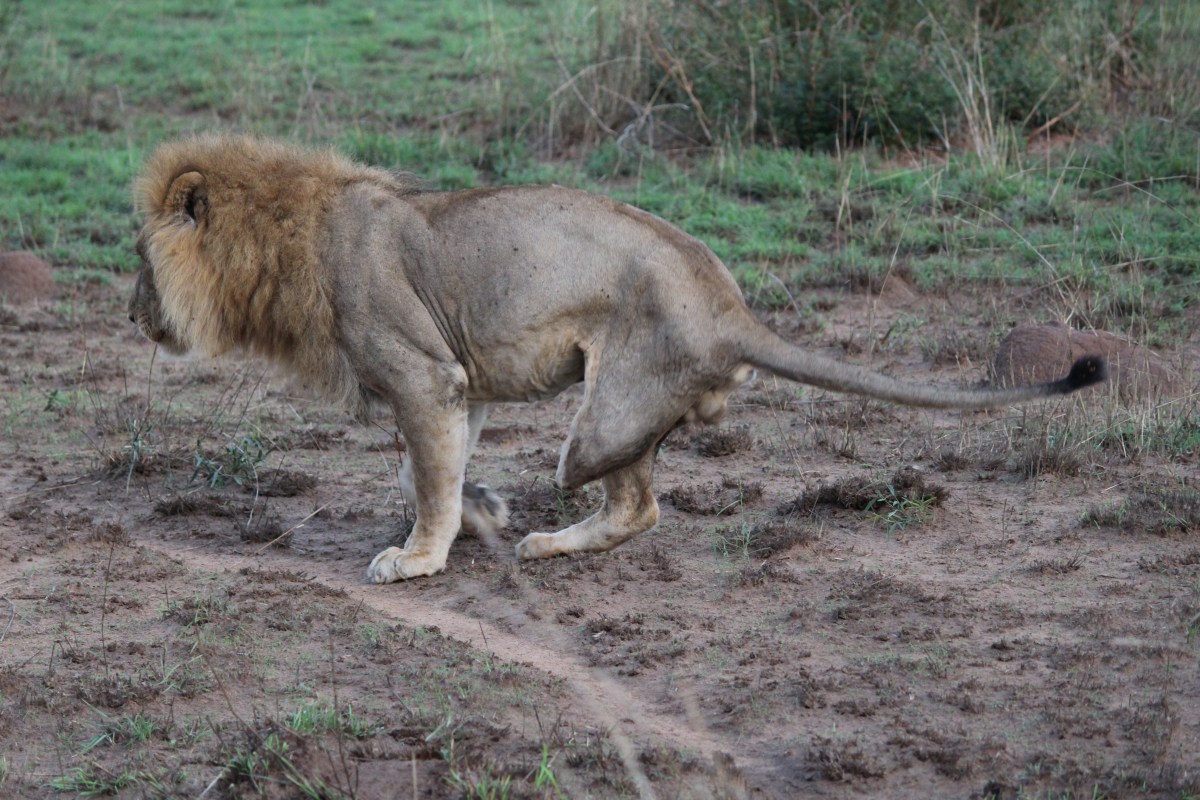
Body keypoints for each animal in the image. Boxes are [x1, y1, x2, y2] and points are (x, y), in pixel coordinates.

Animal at [128, 135, 1105, 583]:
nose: (134, 314)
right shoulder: (459, 380)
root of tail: (732, 308)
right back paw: (545, 539)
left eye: (140, 259)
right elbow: (432, 469)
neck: (287, 240)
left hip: (604, 415)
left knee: (635, 503)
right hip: (621, 415)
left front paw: (418, 557)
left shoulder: (421, 374)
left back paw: (549, 542)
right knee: (639, 501)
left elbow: (427, 479)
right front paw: (480, 508)